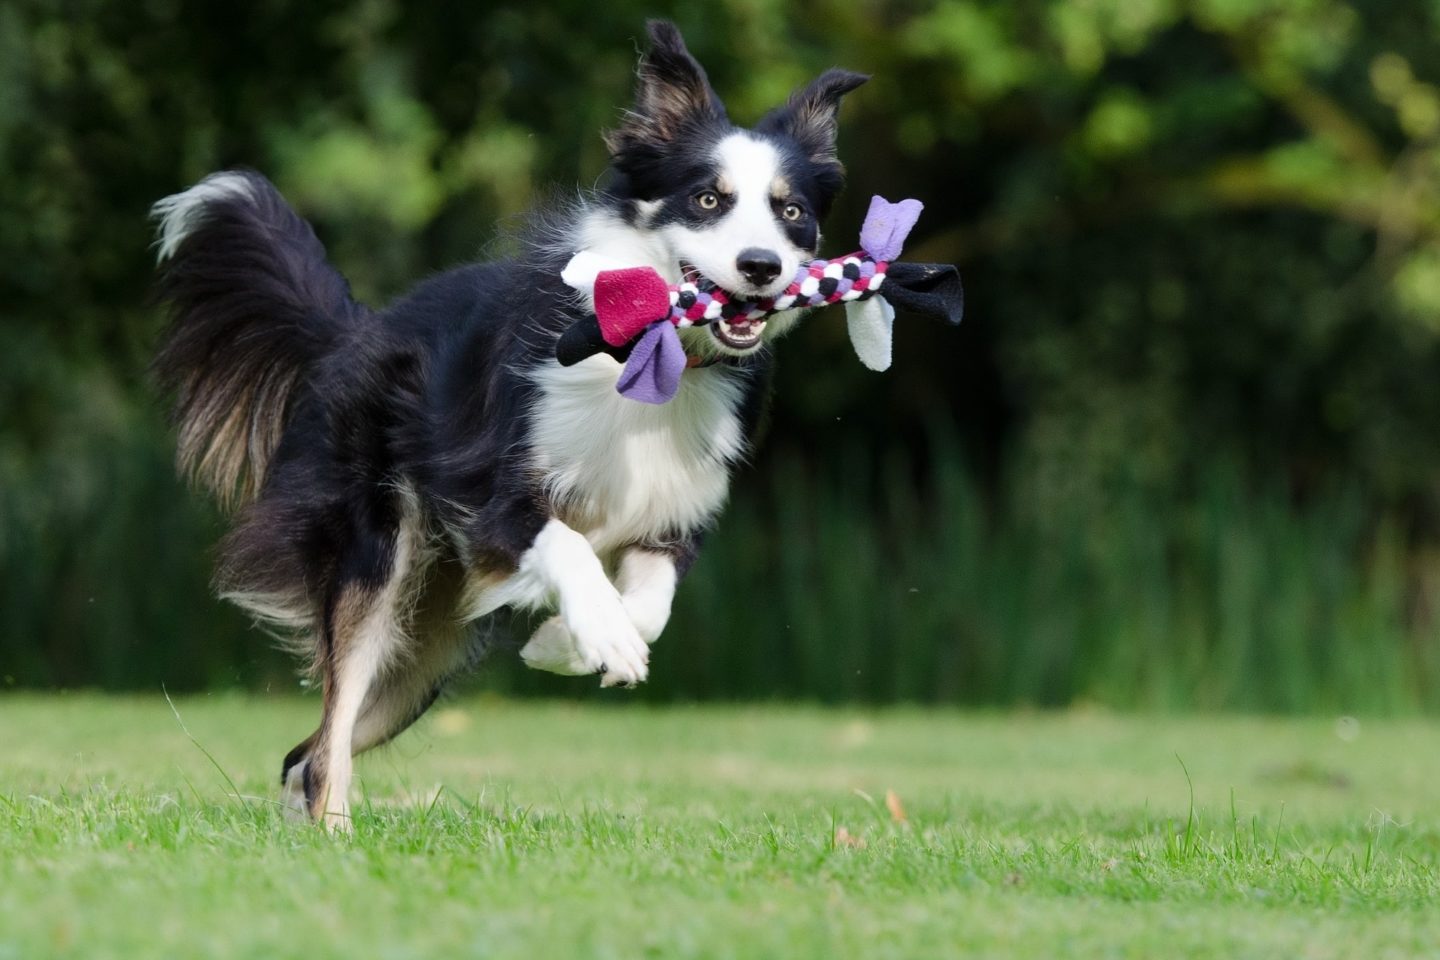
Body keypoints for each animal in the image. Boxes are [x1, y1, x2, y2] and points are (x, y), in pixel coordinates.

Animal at [150, 22, 864, 829]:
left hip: (425, 649)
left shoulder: (673, 514)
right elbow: (569, 547)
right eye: (709, 198)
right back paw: (335, 835)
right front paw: (600, 635)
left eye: (791, 211)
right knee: (328, 735)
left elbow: (651, 605)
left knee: (306, 752)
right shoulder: (488, 492)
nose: (762, 266)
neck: (654, 356)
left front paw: (567, 644)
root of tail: (355, 331)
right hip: (379, 558)